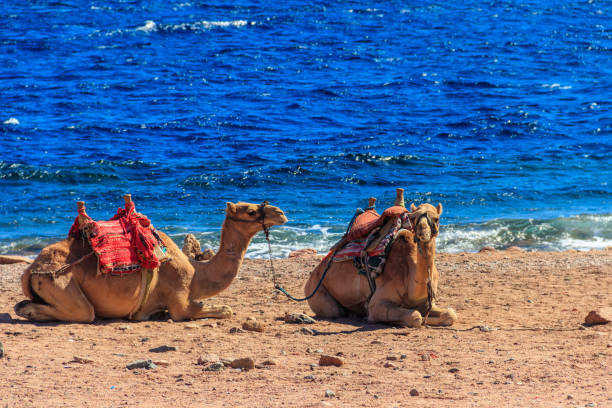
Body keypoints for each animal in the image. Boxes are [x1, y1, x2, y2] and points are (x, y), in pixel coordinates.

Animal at [14, 199, 286, 324]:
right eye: (250, 211)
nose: (281, 212)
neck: (197, 274)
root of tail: (30, 271)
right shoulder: (179, 301)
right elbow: (224, 309)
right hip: (61, 282)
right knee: (83, 312)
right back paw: (30, 312)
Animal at [304, 190, 456, 326]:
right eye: (412, 218)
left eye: (436, 218)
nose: (422, 231)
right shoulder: (377, 304)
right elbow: (415, 316)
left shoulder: (426, 302)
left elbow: (450, 314)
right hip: (317, 291)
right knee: (335, 310)